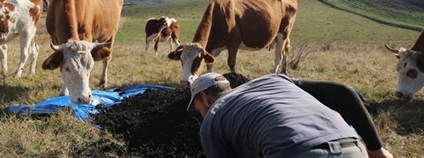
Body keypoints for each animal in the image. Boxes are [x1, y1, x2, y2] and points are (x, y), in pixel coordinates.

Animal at [166, 0, 298, 87]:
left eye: (197, 61)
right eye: (181, 60)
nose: (184, 82)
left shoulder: (234, 43)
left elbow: (231, 64)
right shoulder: (211, 48)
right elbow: (210, 65)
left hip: (283, 33)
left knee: (278, 56)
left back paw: (274, 75)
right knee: (285, 52)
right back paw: (284, 71)